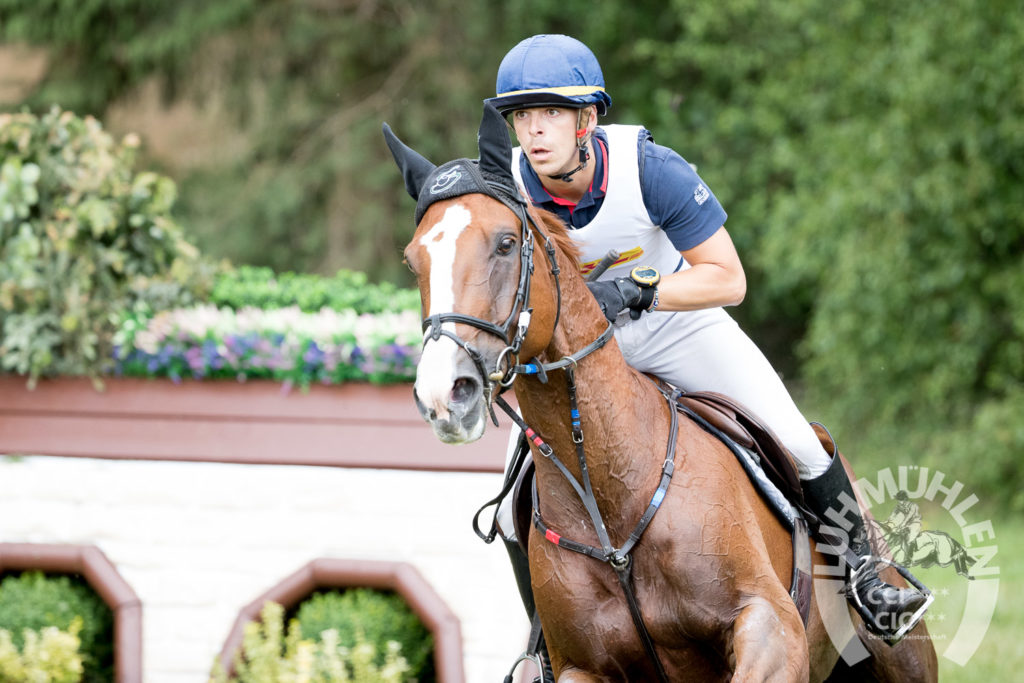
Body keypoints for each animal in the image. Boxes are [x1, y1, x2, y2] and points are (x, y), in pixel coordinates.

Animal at [382, 102, 937, 683]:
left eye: (506, 244)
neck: (613, 491)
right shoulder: (582, 667)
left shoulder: (771, 625)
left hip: (901, 656)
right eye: (414, 261)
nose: (445, 395)